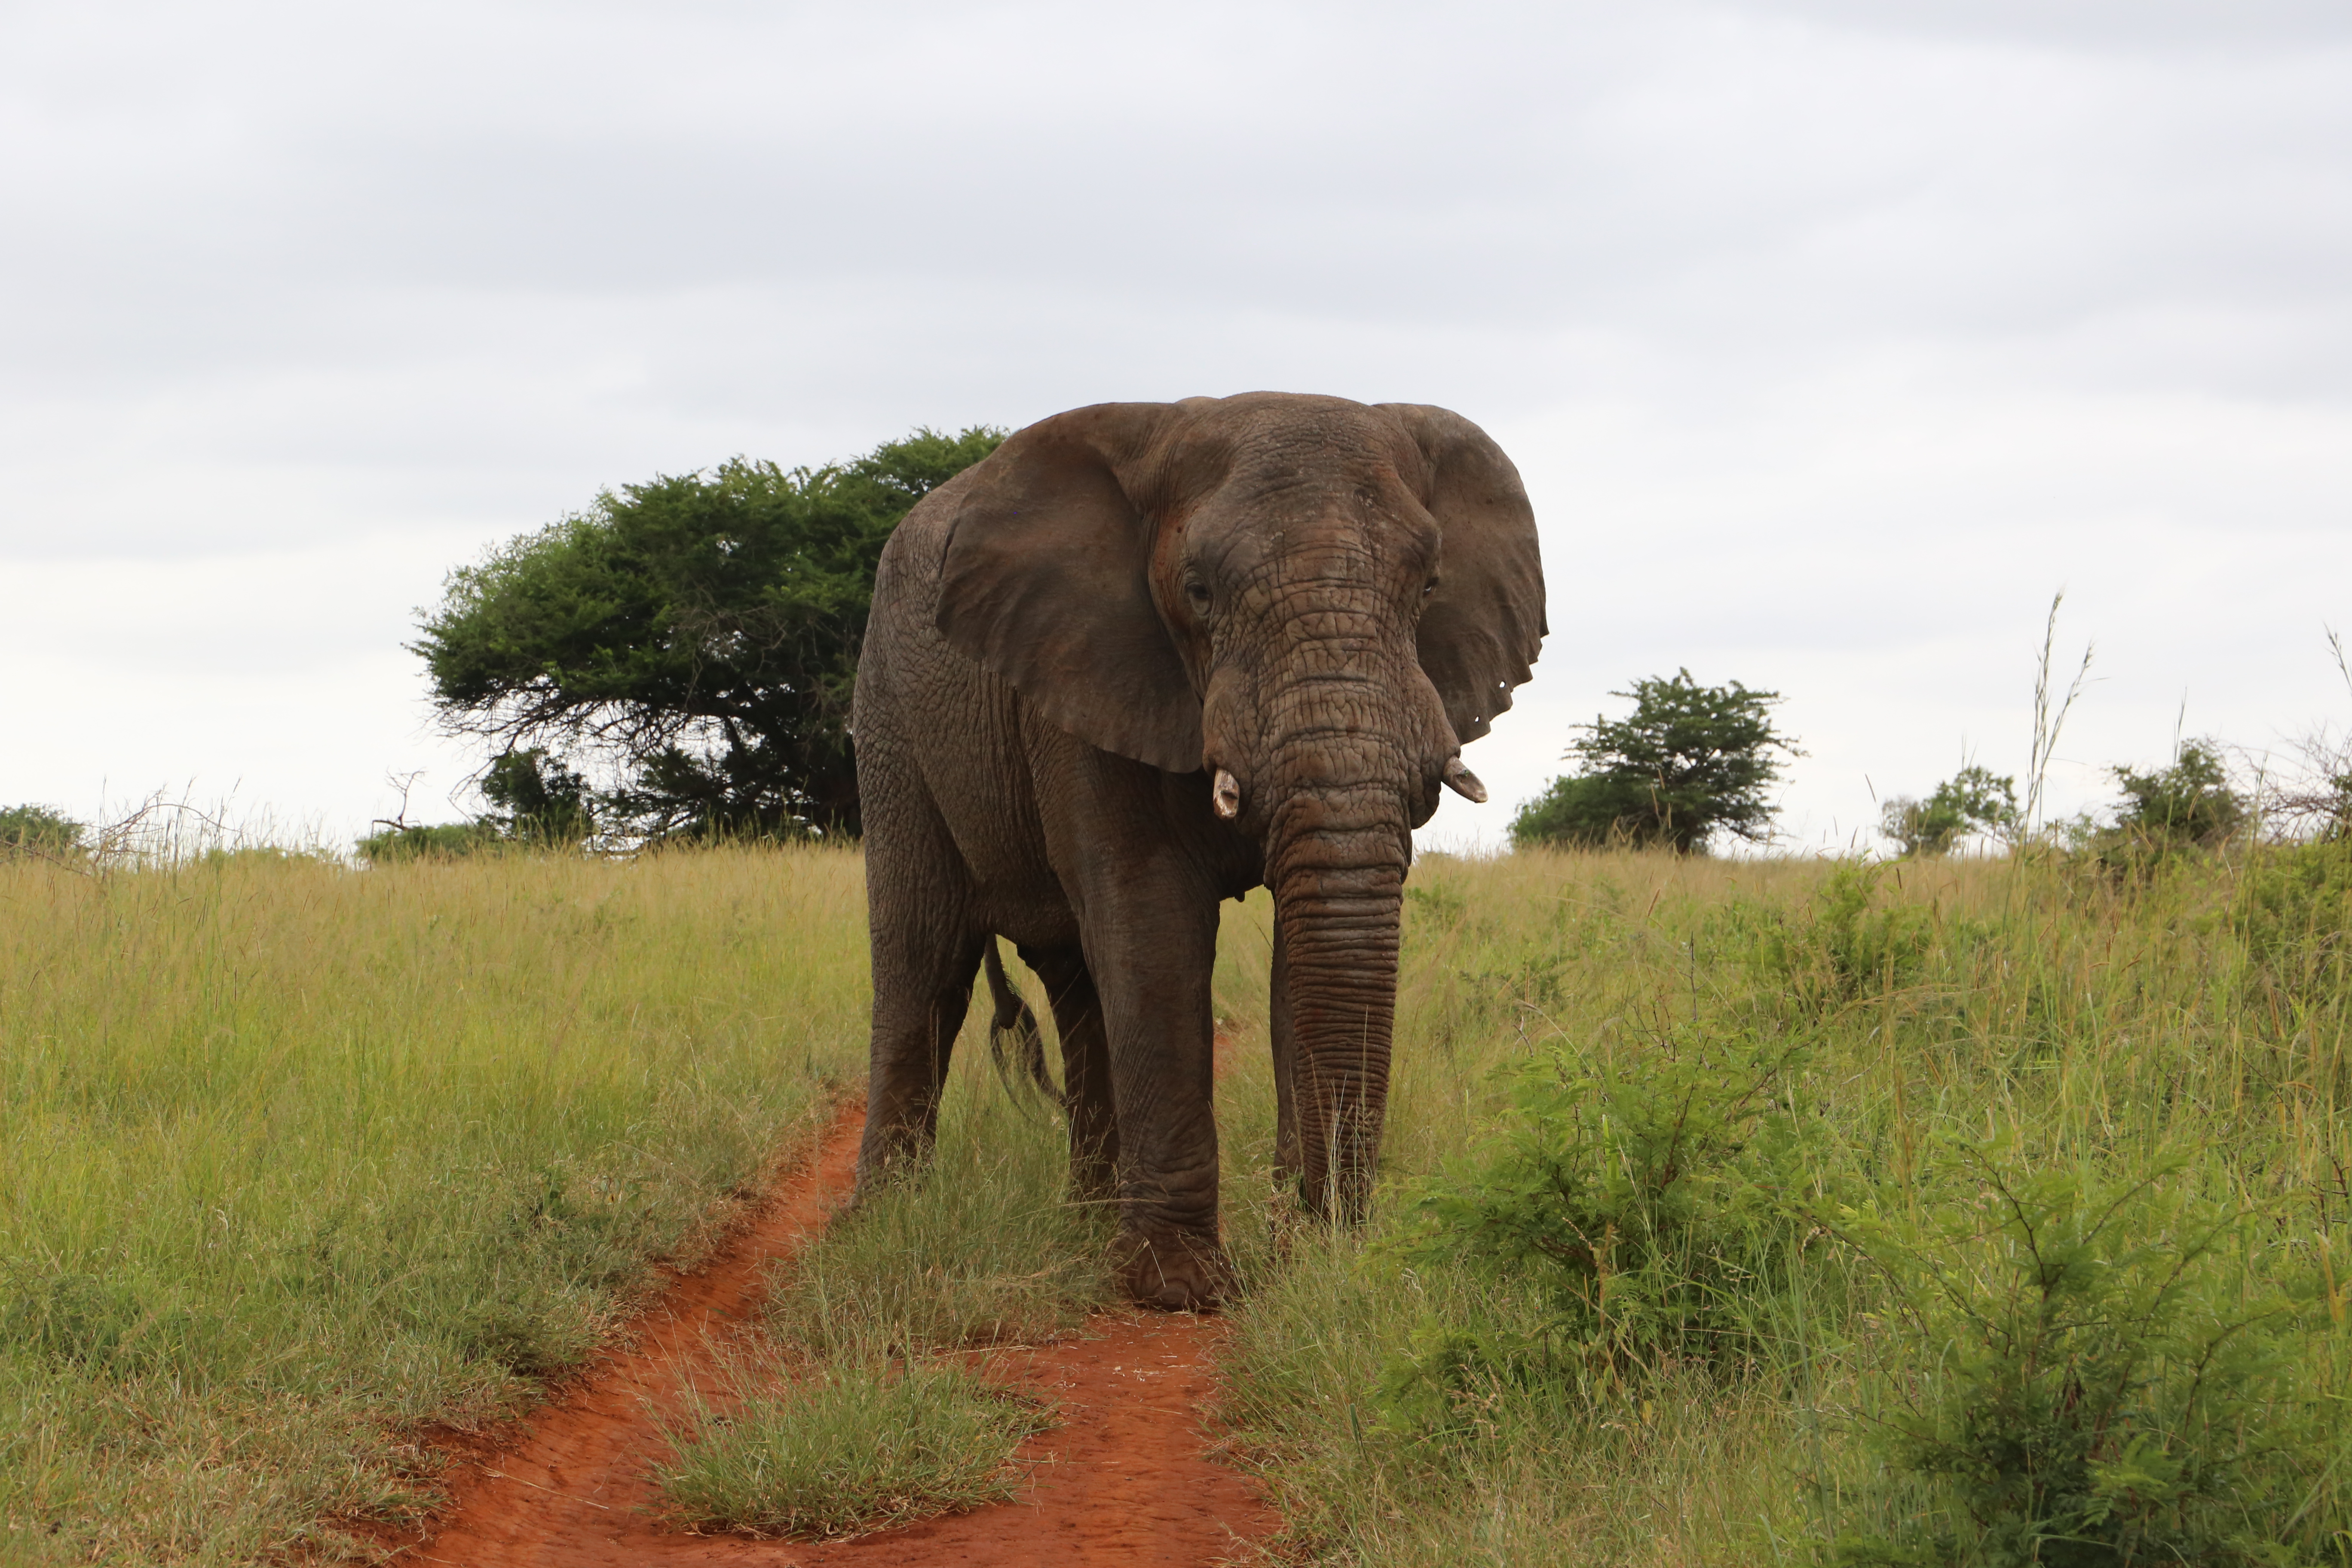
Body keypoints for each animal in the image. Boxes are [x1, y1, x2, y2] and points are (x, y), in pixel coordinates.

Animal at [852, 392, 1545, 1310]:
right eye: (1198, 591)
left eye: (1429, 584)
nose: (1335, 1234)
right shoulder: (1088, 677)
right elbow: (1153, 928)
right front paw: (1177, 1287)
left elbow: (1304, 944)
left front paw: (1305, 1258)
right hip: (889, 716)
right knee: (923, 962)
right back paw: (880, 1227)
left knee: (1075, 985)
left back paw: (1085, 1226)